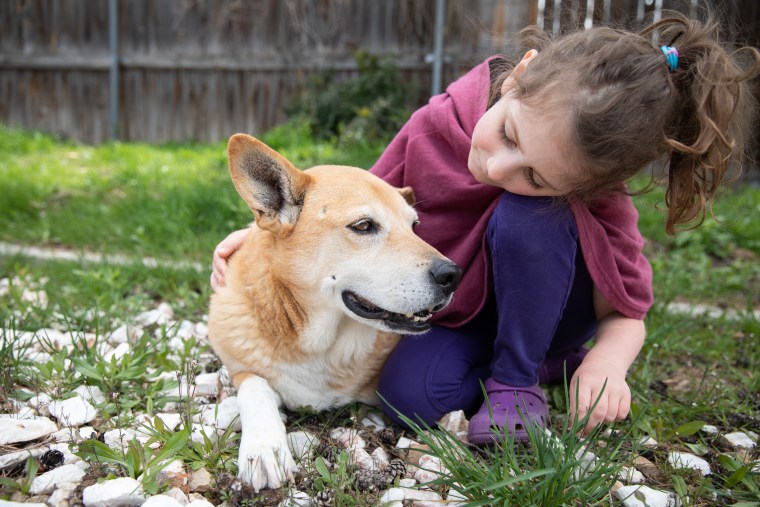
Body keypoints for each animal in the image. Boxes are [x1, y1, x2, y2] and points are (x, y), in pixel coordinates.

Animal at [205, 135, 460, 492]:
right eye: (364, 226)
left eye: (414, 226)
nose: (453, 275)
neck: (320, 343)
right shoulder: (244, 368)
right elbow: (257, 389)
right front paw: (264, 448)